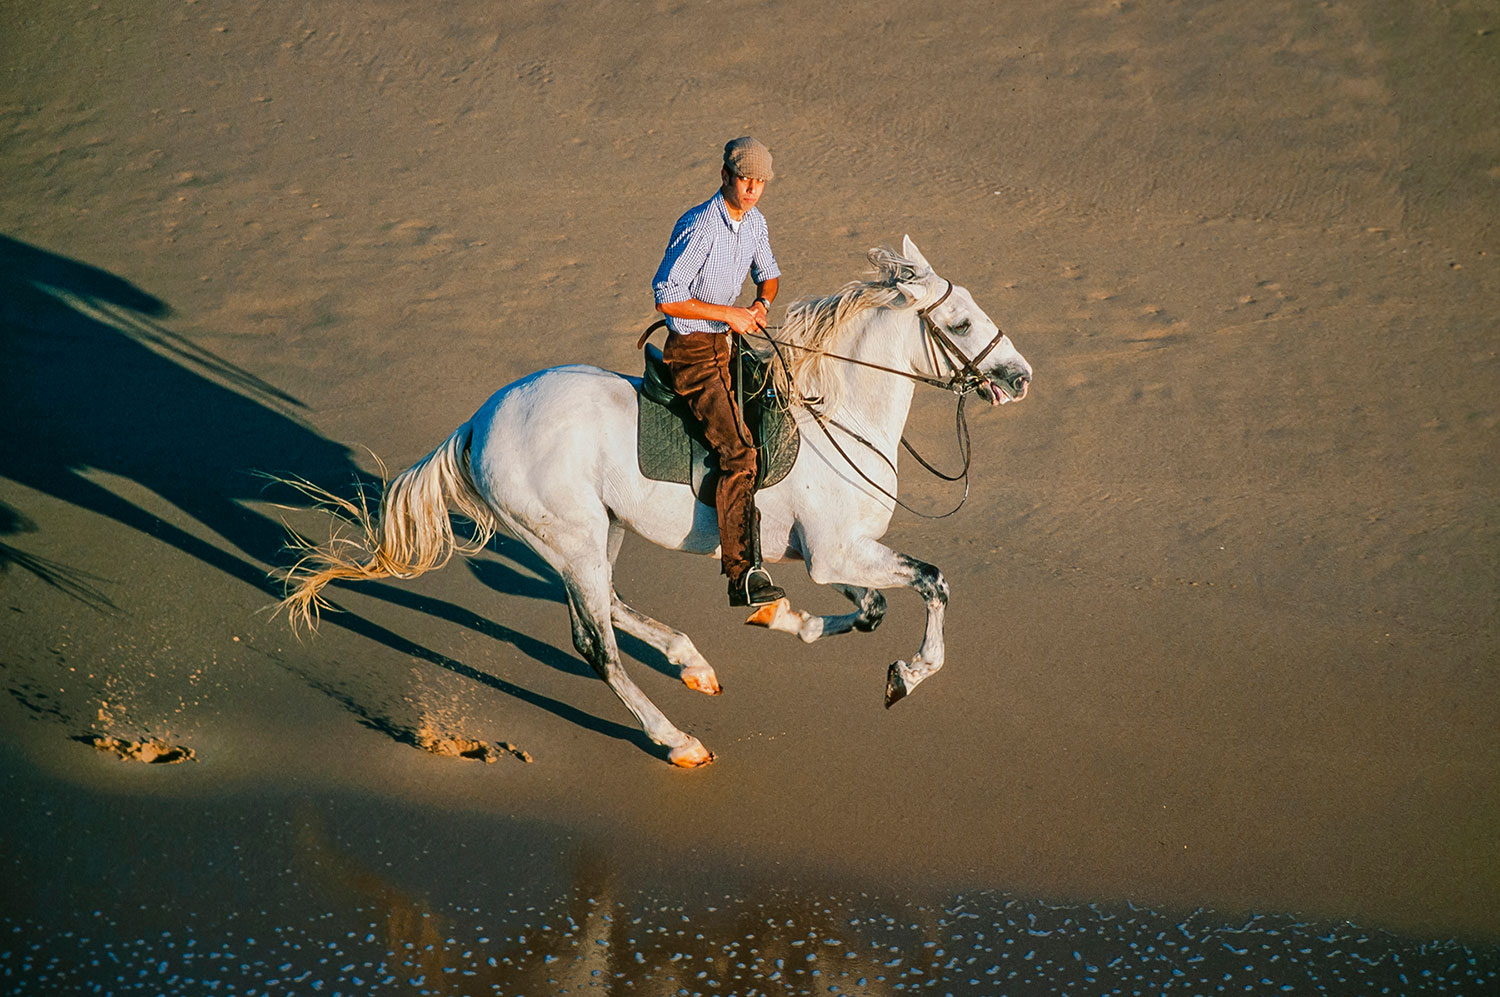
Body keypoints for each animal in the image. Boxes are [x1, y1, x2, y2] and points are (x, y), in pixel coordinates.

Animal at [282, 236, 1032, 764]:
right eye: (963, 323)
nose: (1021, 376)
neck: (838, 414)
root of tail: (479, 422)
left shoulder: (829, 553)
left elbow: (871, 608)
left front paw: (781, 617)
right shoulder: (834, 553)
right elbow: (931, 583)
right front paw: (907, 674)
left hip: (596, 532)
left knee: (610, 605)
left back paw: (694, 665)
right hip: (573, 538)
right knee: (596, 644)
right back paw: (679, 741)